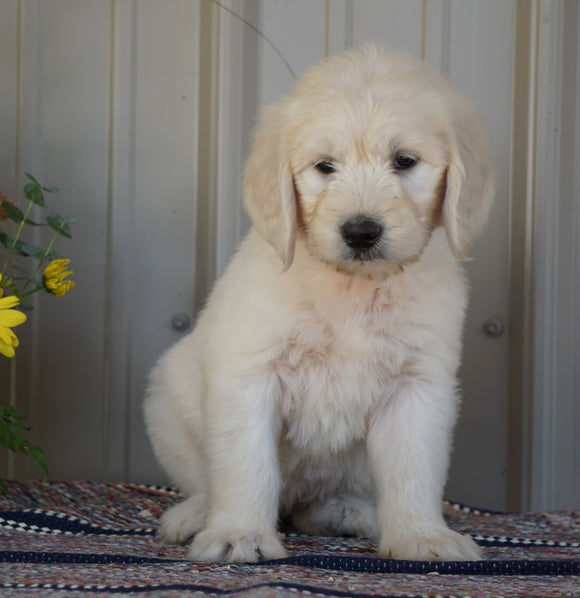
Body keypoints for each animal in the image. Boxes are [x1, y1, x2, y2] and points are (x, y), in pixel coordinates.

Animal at [145, 44, 494, 564]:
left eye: (404, 161)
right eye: (325, 167)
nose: (361, 232)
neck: (353, 286)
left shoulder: (417, 385)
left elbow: (414, 468)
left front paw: (422, 535)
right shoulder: (249, 374)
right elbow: (245, 464)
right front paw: (239, 533)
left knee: (319, 503)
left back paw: (351, 513)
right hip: (165, 402)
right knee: (209, 482)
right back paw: (194, 515)